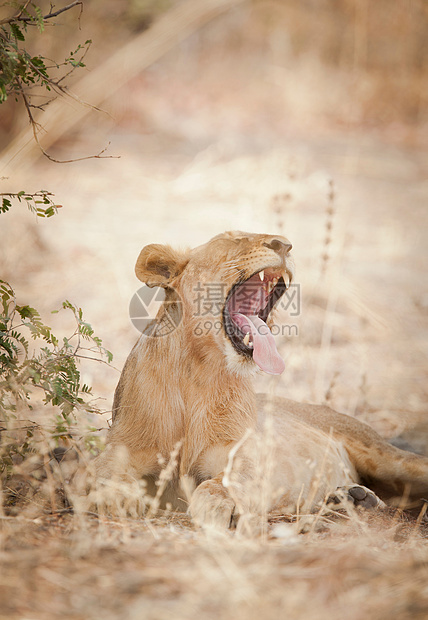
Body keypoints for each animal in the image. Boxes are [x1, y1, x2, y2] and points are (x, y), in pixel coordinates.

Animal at [95, 232, 428, 528]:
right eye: (231, 239)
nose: (285, 244)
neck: (198, 371)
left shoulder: (246, 454)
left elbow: (223, 481)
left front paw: (220, 507)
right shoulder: (122, 448)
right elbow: (102, 474)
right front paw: (117, 498)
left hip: (385, 456)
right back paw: (353, 498)